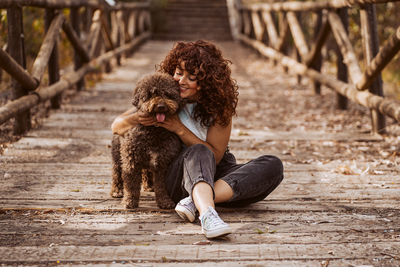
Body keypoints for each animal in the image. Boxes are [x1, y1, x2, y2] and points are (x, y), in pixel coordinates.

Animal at [110, 73, 184, 209]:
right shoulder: (131, 160)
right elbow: (131, 183)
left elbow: (161, 186)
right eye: (150, 95)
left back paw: (148, 186)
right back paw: (116, 191)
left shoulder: (162, 162)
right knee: (116, 172)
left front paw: (164, 201)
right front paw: (129, 201)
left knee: (146, 171)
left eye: (167, 94)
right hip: (117, 154)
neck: (154, 130)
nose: (161, 106)